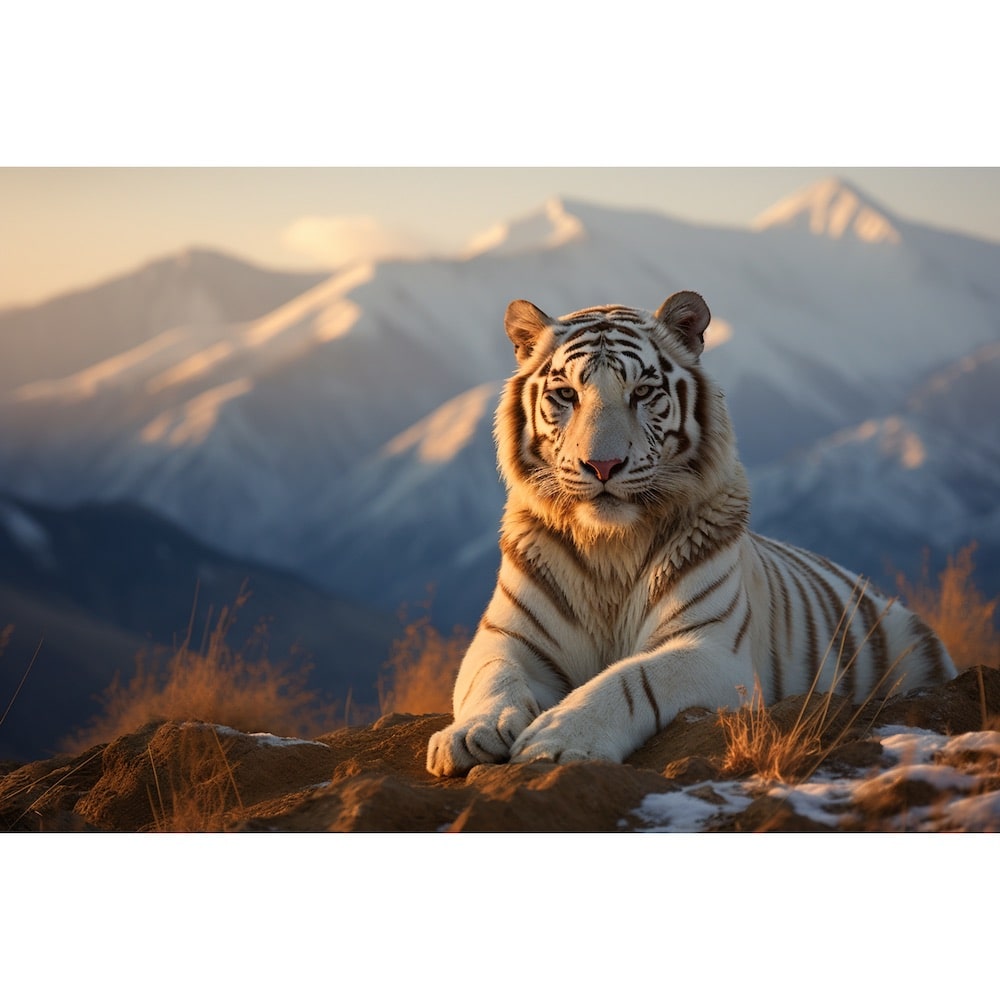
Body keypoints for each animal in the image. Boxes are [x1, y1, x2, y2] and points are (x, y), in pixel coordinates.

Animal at [426, 290, 956, 777]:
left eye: (642, 393)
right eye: (567, 395)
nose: (602, 465)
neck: (609, 547)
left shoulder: (711, 650)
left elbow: (631, 681)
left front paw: (557, 739)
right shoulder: (507, 637)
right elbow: (493, 677)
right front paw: (470, 734)